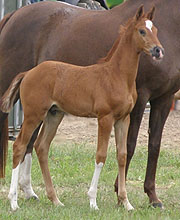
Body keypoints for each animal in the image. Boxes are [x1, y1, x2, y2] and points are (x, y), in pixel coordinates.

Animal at [0, 0, 179, 208]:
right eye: (142, 31)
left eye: (156, 30)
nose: (158, 51)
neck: (116, 73)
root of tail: (28, 73)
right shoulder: (109, 116)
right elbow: (103, 155)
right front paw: (94, 201)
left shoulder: (131, 114)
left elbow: (125, 153)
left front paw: (129, 202)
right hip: (32, 114)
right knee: (19, 146)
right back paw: (14, 202)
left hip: (52, 114)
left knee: (40, 146)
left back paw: (52, 199)